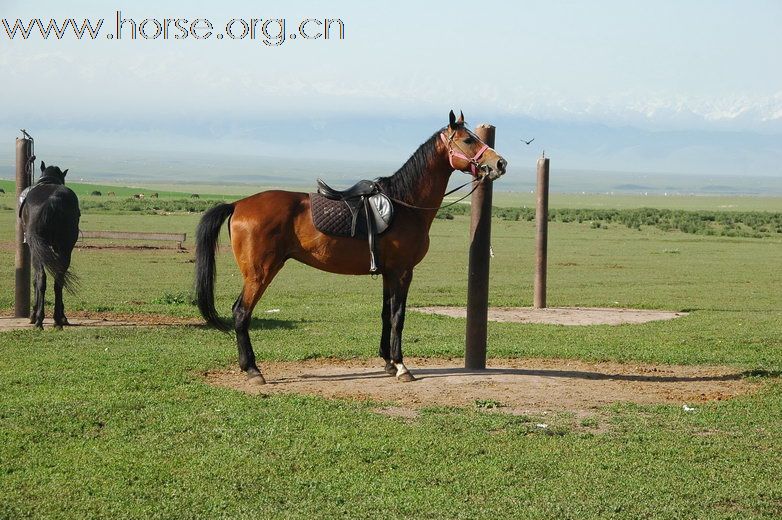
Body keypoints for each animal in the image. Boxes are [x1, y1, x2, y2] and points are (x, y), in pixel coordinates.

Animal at [20, 162, 81, 328]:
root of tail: (53, 200)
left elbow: (35, 280)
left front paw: (33, 314)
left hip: (42, 248)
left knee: (43, 278)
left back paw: (42, 320)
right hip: (63, 249)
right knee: (58, 279)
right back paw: (56, 320)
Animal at [196, 111, 508, 384]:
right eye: (468, 140)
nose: (500, 163)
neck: (406, 204)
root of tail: (238, 204)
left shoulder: (388, 273)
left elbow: (386, 314)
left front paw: (387, 362)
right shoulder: (403, 271)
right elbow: (398, 316)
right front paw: (401, 366)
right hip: (260, 273)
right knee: (241, 312)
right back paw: (253, 370)